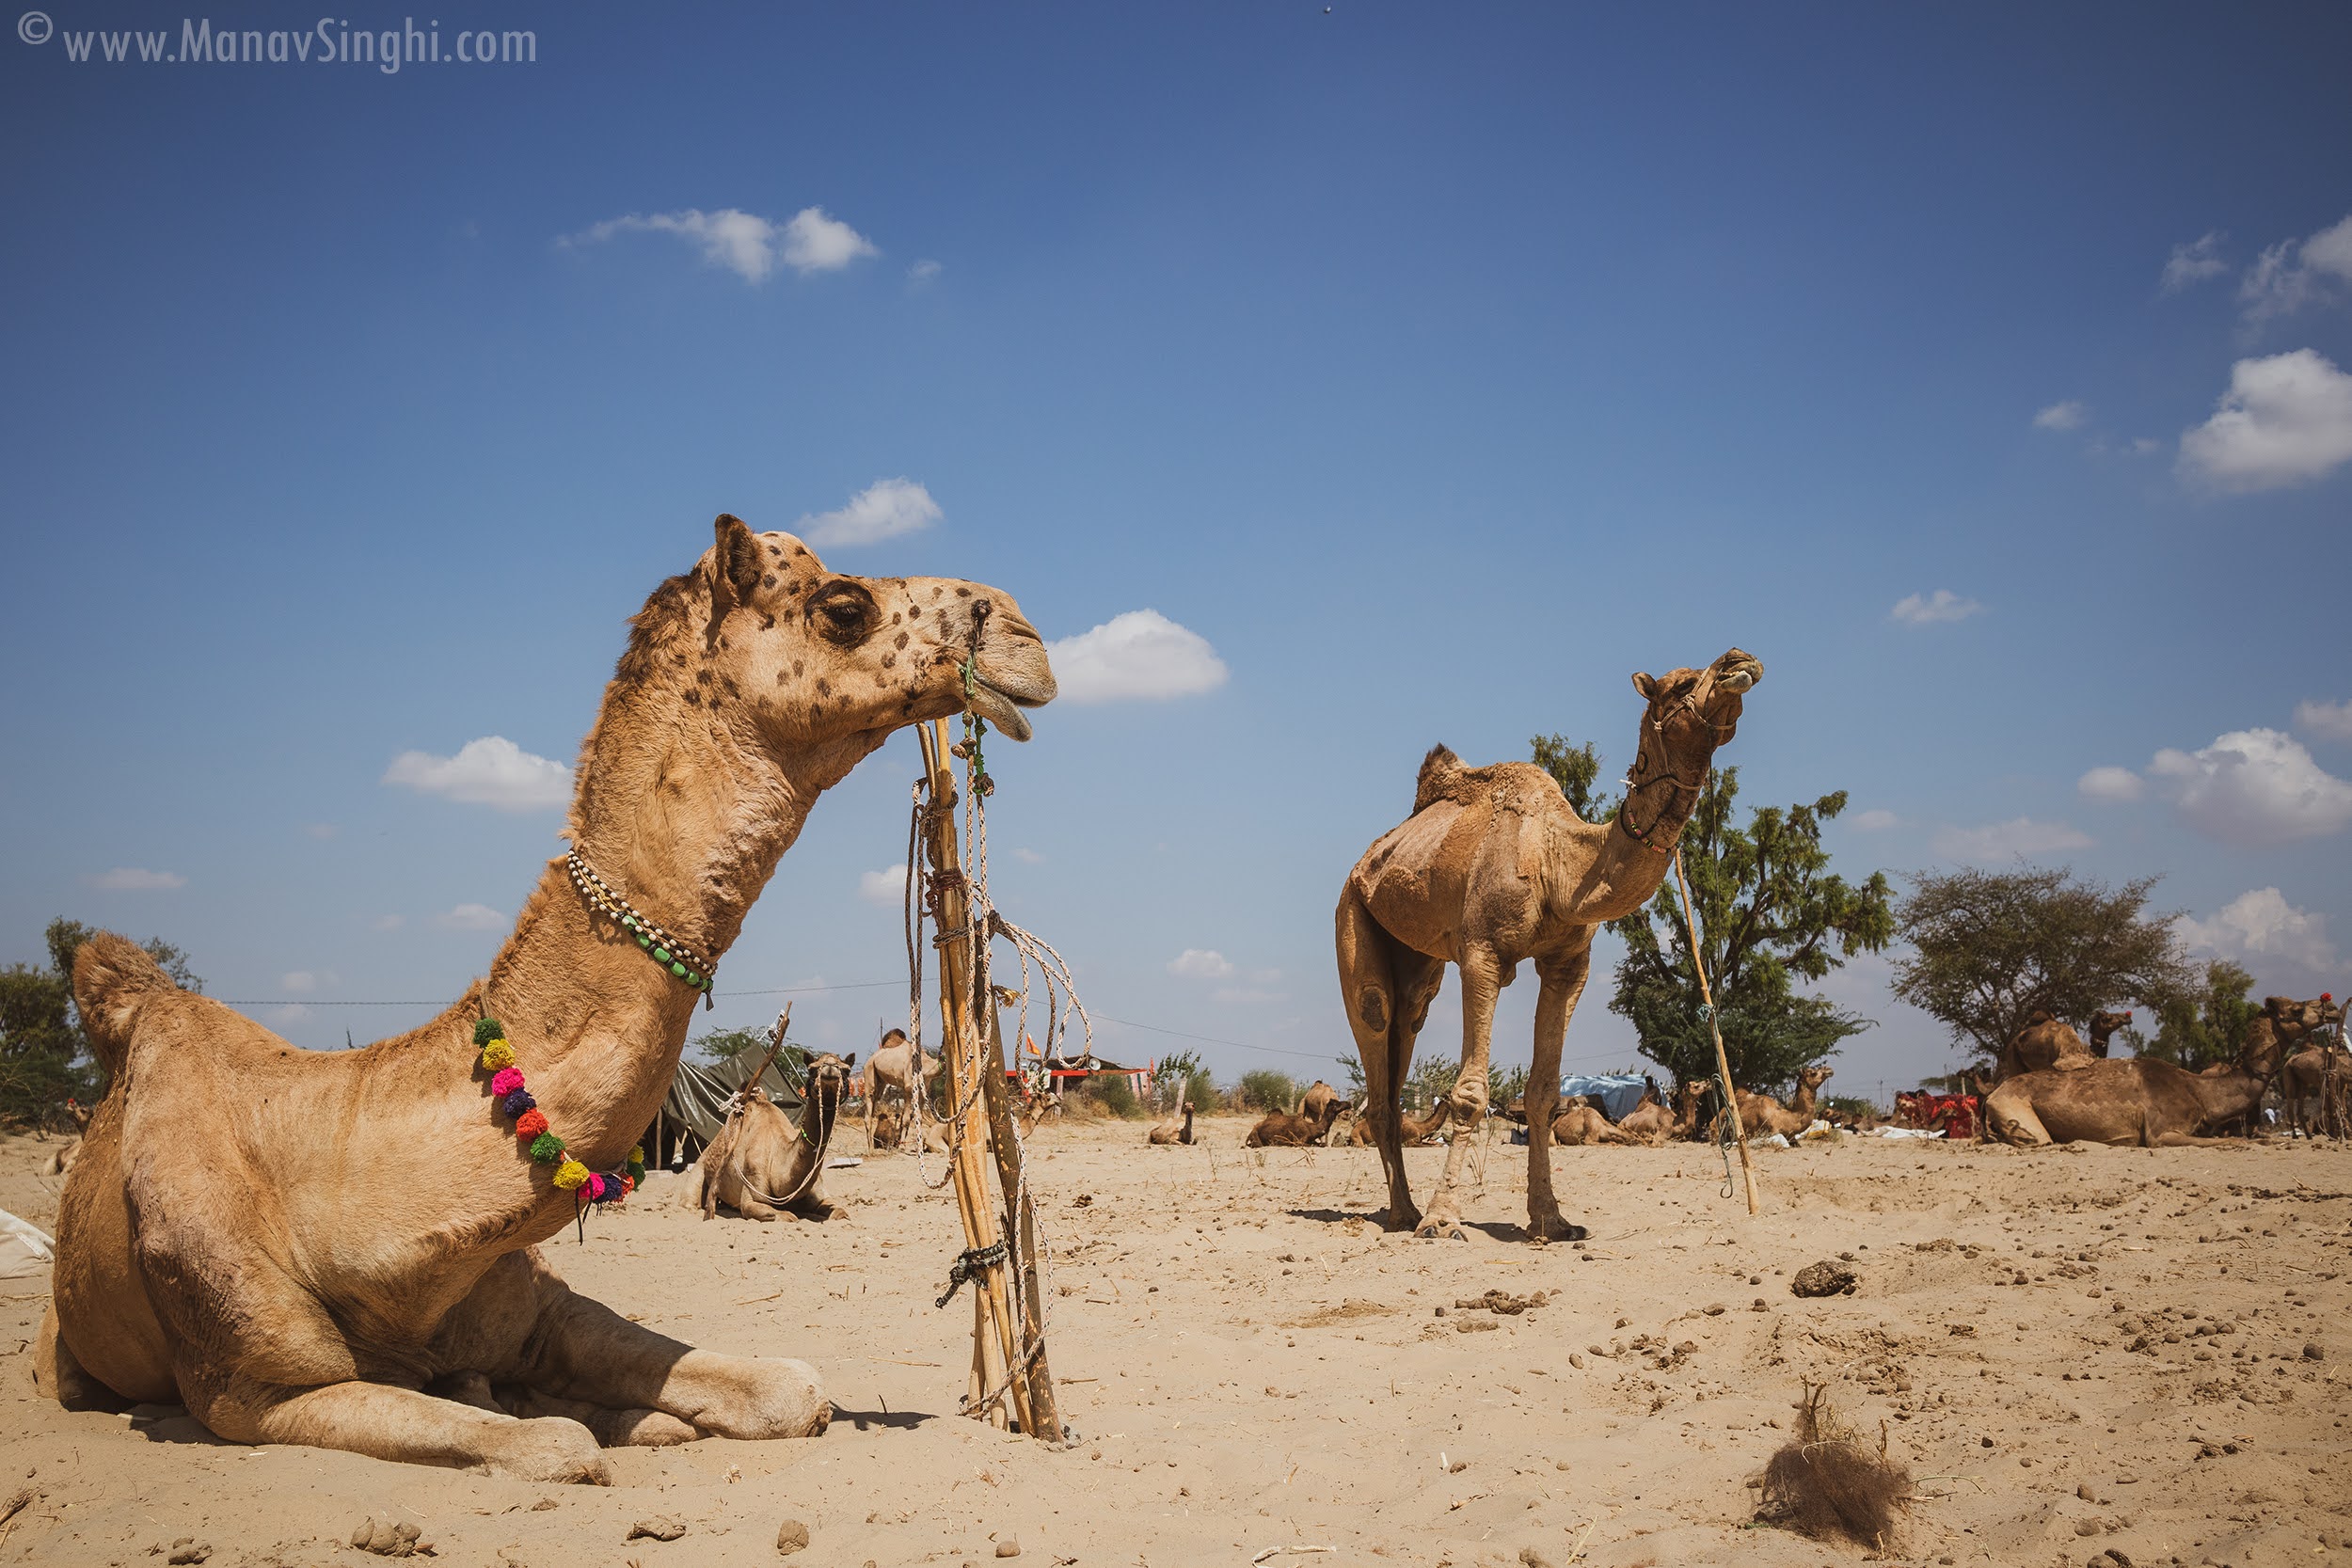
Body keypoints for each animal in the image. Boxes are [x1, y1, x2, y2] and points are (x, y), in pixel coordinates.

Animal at [696, 1053, 856, 1222]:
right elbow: (788, 1217)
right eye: (812, 1069)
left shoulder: (822, 1194)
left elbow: (840, 1212)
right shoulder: (752, 1196)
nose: (830, 1069)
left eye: (846, 1070)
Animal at [1336, 648, 1759, 1241]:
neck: (1559, 862)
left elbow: (1541, 1092)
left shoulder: (1568, 964)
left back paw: (1406, 1210)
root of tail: (1368, 860)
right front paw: (1444, 1219)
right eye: (1679, 686)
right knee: (1375, 1016)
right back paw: (1407, 1215)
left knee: (1407, 1025)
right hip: (1351, 912)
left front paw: (1552, 1219)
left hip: (1417, 958)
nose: (1739, 662)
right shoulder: (1482, 954)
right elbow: (1470, 1093)